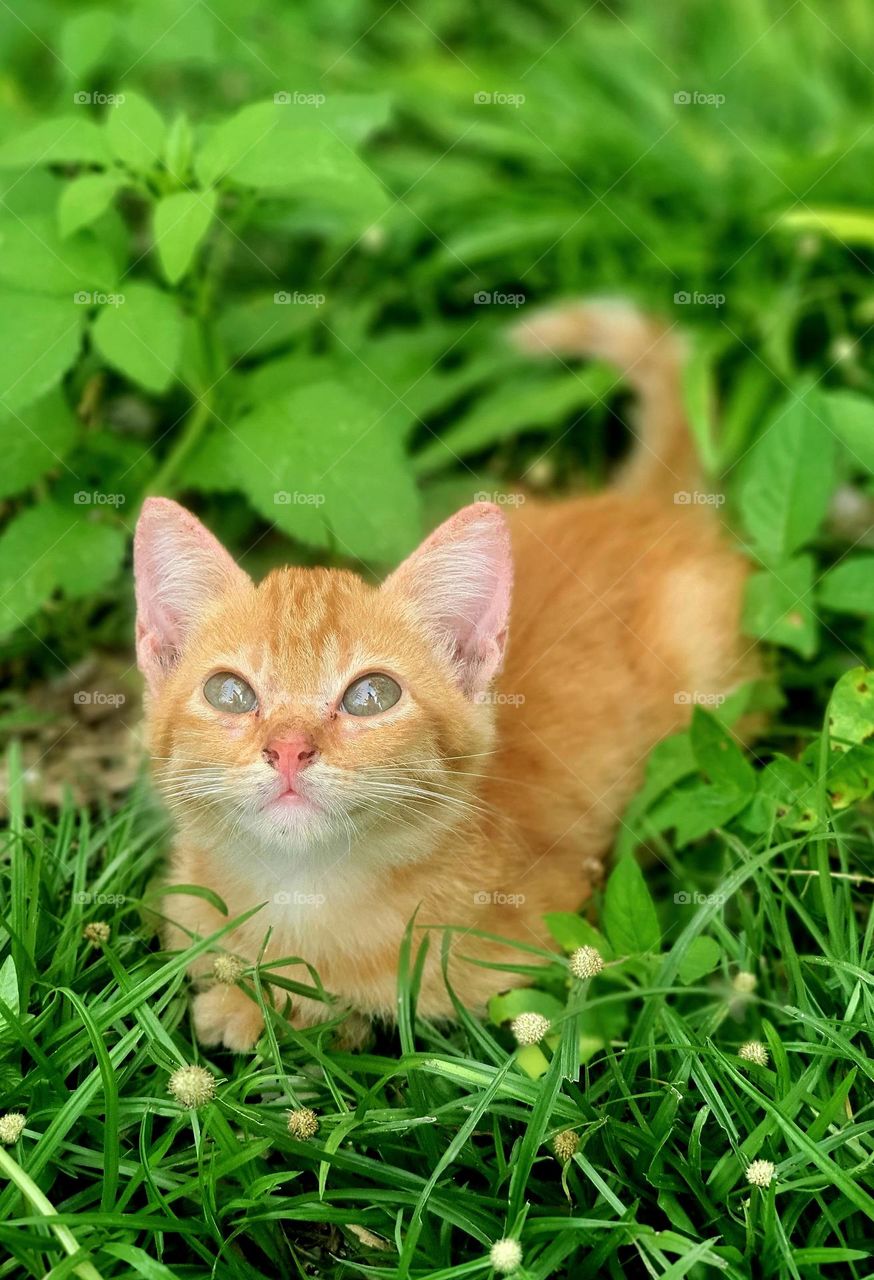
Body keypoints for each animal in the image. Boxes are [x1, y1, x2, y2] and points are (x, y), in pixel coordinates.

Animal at [135, 302, 752, 1049]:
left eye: (372, 695)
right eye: (229, 692)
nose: (287, 749)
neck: (304, 897)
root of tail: (643, 508)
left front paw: (272, 1007)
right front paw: (249, 991)